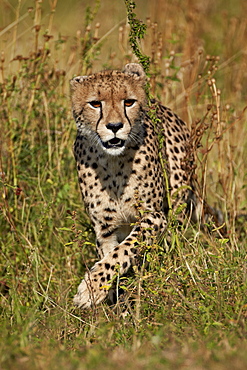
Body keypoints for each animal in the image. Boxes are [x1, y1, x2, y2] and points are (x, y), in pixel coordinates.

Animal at [70, 62, 200, 310]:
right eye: (95, 104)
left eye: (128, 102)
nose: (114, 126)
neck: (114, 163)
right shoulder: (105, 229)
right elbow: (111, 256)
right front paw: (108, 295)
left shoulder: (154, 216)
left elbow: (123, 251)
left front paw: (90, 289)